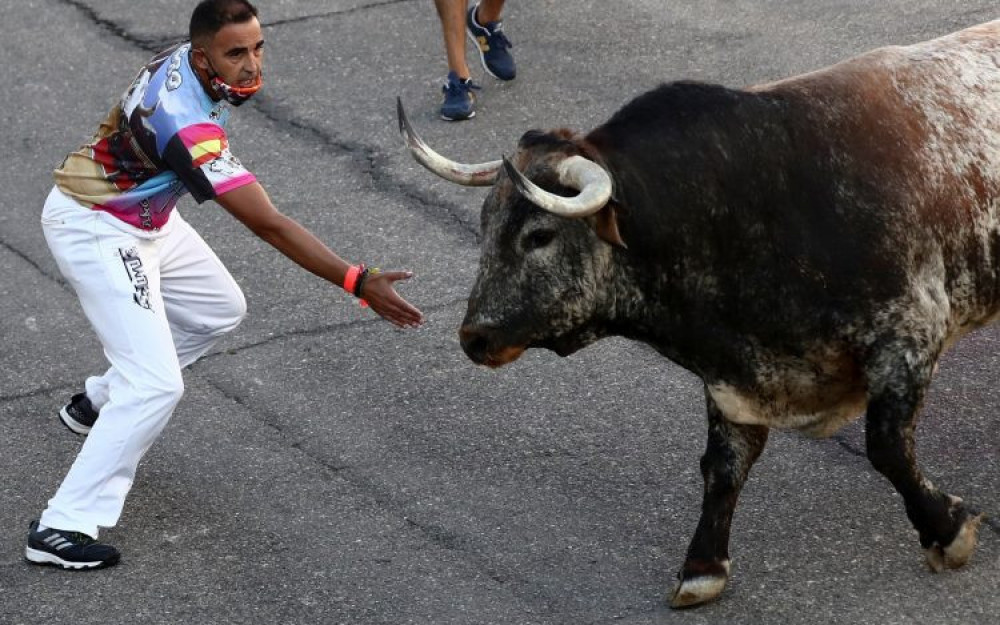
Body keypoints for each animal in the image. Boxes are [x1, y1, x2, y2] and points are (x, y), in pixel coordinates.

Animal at [394, 20, 996, 608]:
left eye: (539, 235)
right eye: (485, 224)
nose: (474, 337)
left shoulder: (907, 336)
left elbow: (886, 448)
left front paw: (947, 530)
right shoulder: (733, 377)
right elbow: (723, 466)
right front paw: (702, 567)